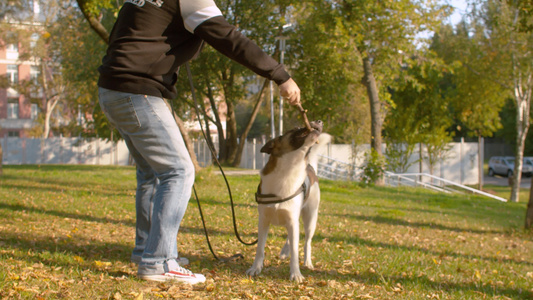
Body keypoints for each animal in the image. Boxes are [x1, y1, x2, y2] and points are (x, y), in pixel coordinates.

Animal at [245, 120, 328, 284]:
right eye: (296, 128)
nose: (319, 122)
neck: (289, 170)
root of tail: (310, 168)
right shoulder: (263, 221)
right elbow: (260, 249)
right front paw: (255, 268)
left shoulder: (292, 220)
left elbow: (296, 252)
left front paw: (295, 273)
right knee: (291, 239)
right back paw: (285, 251)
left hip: (310, 219)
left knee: (307, 242)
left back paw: (307, 262)